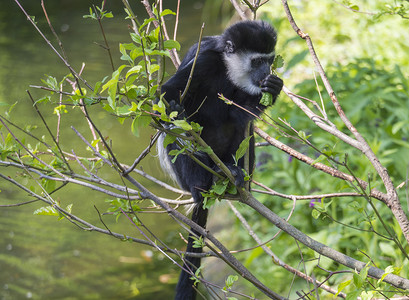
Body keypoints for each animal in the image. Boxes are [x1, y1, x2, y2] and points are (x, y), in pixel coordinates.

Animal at [157, 20, 284, 300]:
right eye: (257, 61)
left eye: (269, 60)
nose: (266, 72)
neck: (226, 69)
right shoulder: (203, 63)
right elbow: (167, 95)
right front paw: (177, 111)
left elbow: (241, 113)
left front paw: (273, 89)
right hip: (186, 172)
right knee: (179, 140)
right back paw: (204, 179)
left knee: (243, 129)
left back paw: (236, 175)